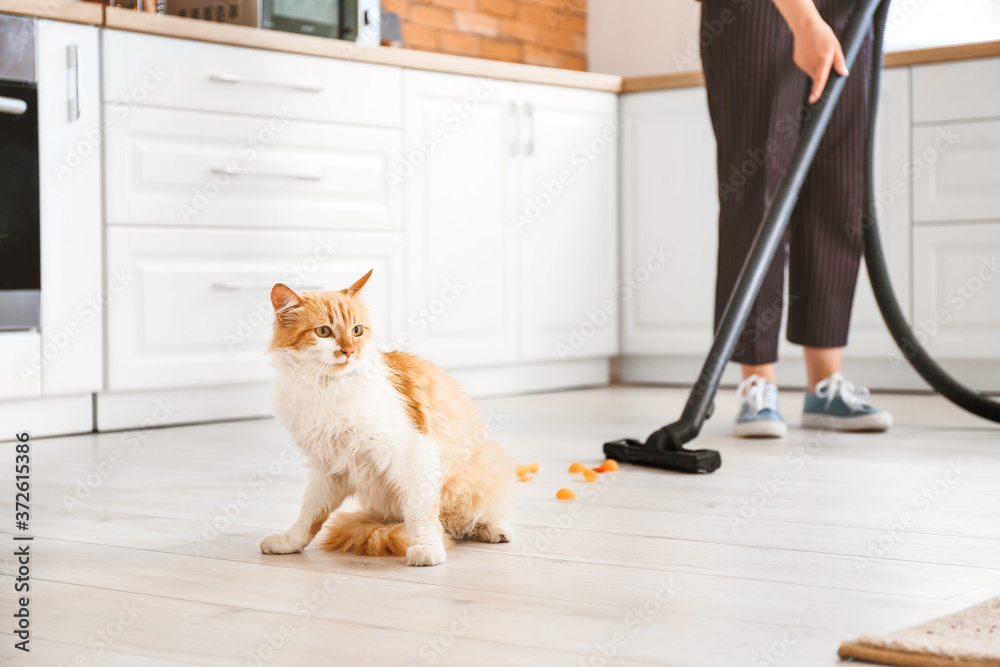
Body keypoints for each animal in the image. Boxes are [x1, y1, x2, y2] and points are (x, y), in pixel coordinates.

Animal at [260, 268, 508, 568]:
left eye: (357, 330)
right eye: (323, 331)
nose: (349, 351)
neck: (328, 388)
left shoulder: (414, 453)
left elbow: (421, 512)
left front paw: (426, 547)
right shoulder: (328, 469)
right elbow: (310, 515)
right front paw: (289, 542)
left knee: (473, 516)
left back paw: (493, 530)